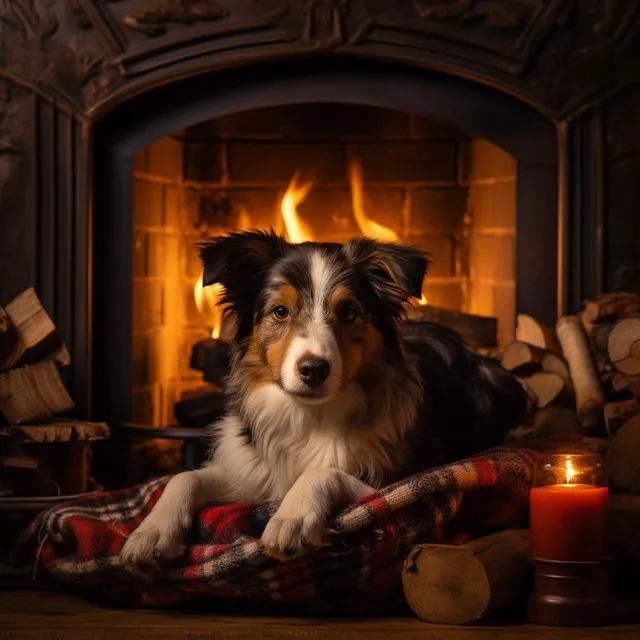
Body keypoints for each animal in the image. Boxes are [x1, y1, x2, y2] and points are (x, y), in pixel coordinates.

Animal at [120, 230, 524, 564]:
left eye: (348, 313)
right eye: (280, 311)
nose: (314, 369)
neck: (308, 416)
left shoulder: (401, 479)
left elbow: (323, 470)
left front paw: (293, 515)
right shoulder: (249, 471)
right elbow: (183, 477)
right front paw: (151, 532)